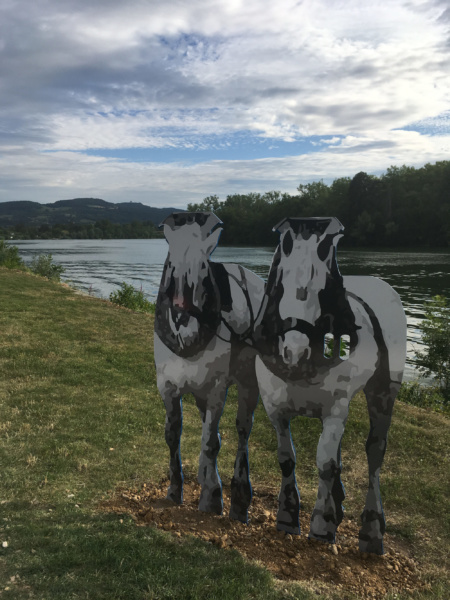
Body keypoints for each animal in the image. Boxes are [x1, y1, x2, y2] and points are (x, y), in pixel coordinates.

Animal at [155, 213, 266, 524]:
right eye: (169, 263)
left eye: (204, 266)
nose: (182, 315)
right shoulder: (167, 386)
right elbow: (173, 436)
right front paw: (175, 490)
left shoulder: (217, 388)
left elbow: (211, 442)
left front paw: (211, 499)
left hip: (247, 382)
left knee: (242, 430)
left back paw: (239, 499)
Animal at [253, 217, 408, 552]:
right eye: (280, 275)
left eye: (325, 285)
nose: (294, 350)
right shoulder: (275, 408)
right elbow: (287, 459)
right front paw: (288, 516)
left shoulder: (336, 408)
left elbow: (325, 464)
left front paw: (321, 525)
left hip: (383, 393)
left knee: (375, 450)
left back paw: (372, 531)